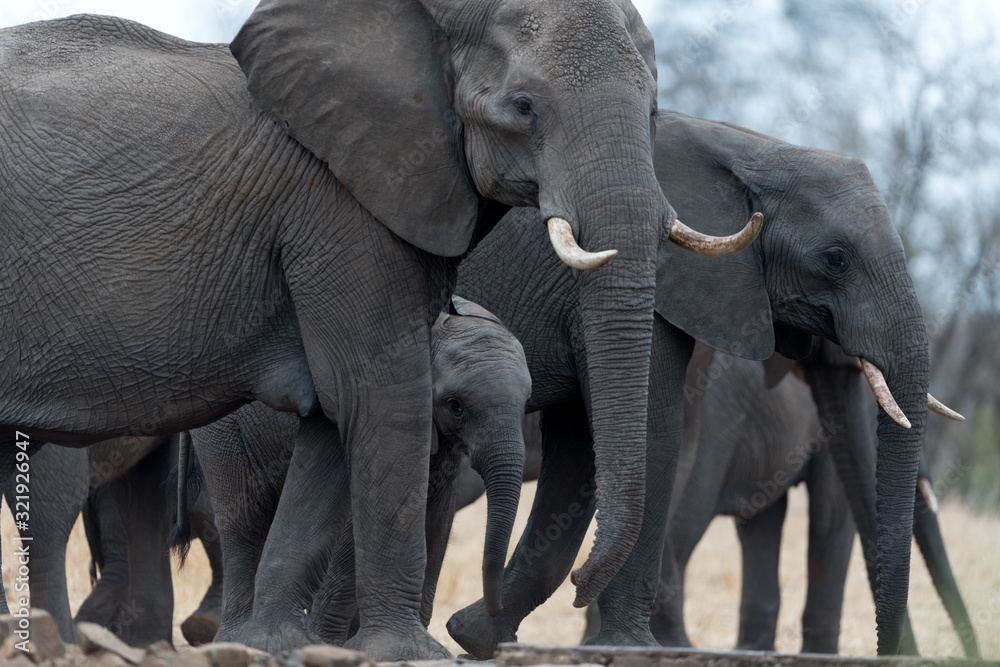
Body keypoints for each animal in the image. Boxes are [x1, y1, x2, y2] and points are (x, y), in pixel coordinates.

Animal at [0, 3, 753, 657]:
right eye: (524, 107)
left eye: (653, 110)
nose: (574, 592)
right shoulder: (342, 204)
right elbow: (377, 391)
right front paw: (409, 652)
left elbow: (336, 414)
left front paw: (274, 648)